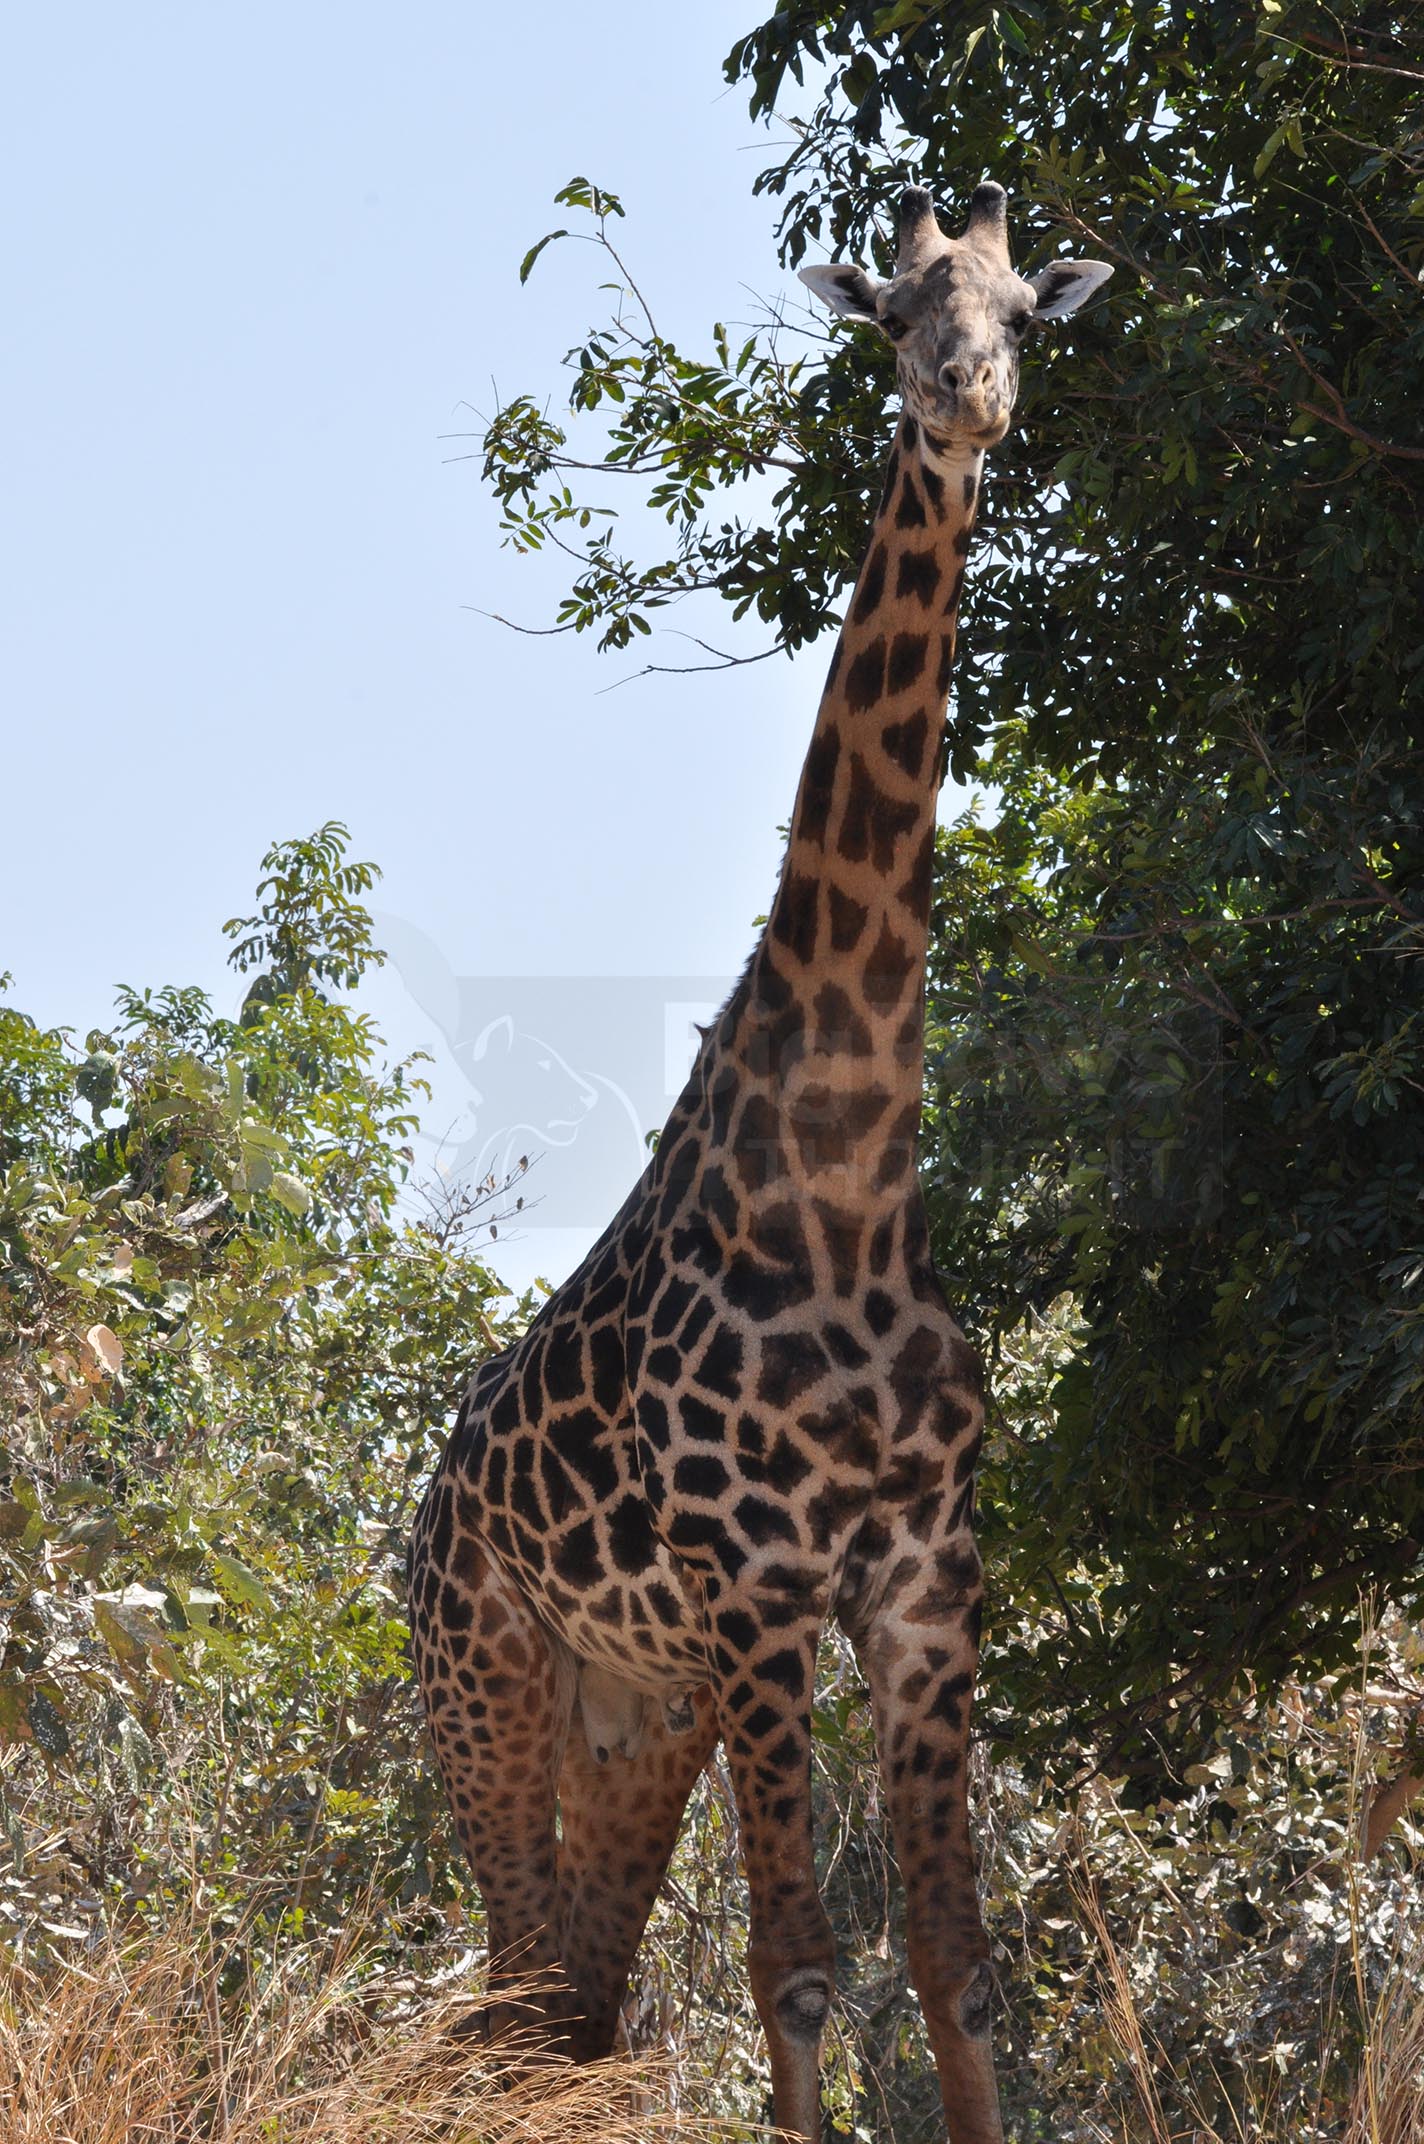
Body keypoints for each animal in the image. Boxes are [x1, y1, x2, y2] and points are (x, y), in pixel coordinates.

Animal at [411, 184, 1115, 2144]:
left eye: (1024, 310)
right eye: (890, 313)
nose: (965, 399)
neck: (851, 1184)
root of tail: (417, 1515)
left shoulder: (926, 1582)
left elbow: (952, 1960)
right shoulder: (756, 1590)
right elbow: (796, 1963)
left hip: (629, 1714)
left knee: (565, 1999)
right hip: (486, 1686)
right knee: (515, 1988)